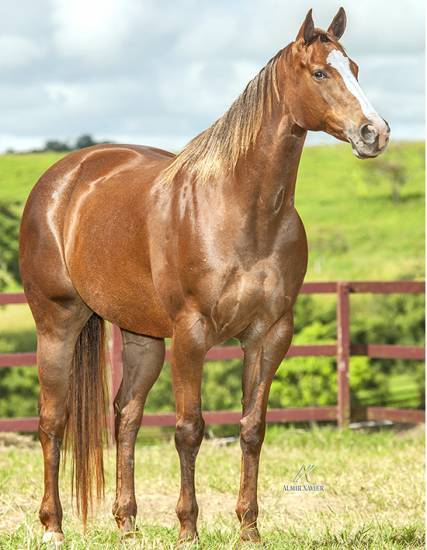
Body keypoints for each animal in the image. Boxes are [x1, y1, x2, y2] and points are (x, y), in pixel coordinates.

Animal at [19, 7, 389, 545]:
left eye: (355, 68)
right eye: (321, 73)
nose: (374, 132)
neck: (241, 210)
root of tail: (62, 179)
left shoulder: (269, 334)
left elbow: (252, 428)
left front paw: (249, 529)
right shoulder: (191, 334)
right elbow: (189, 429)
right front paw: (188, 529)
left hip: (142, 337)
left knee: (126, 415)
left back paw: (127, 524)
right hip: (58, 324)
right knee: (53, 420)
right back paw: (53, 527)